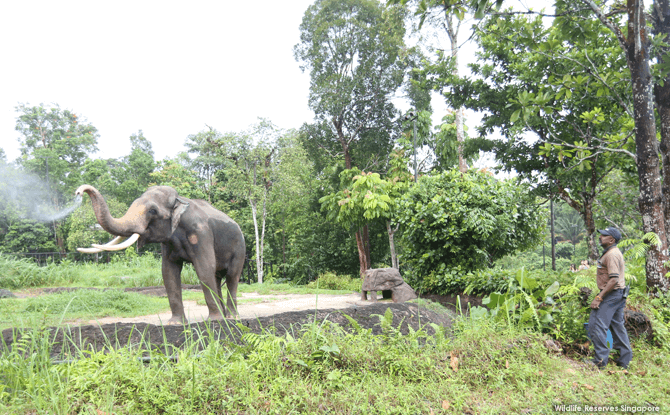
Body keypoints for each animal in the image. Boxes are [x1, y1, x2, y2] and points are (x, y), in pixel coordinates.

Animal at [76, 185, 248, 324]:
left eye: (152, 211)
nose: (79, 191)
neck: (179, 201)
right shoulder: (168, 242)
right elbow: (168, 272)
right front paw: (175, 323)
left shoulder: (201, 233)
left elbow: (204, 268)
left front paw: (214, 321)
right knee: (217, 277)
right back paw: (225, 316)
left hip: (240, 248)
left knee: (232, 277)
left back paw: (231, 318)